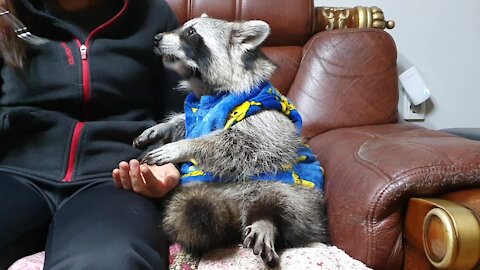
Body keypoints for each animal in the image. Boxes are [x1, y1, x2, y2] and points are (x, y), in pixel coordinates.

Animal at [135, 15, 330, 268]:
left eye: (191, 33)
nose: (157, 38)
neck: (205, 92)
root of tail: (236, 209)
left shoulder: (262, 111)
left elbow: (248, 142)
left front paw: (184, 146)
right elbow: (183, 125)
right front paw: (163, 128)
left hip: (297, 191)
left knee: (287, 202)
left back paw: (267, 220)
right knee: (189, 211)